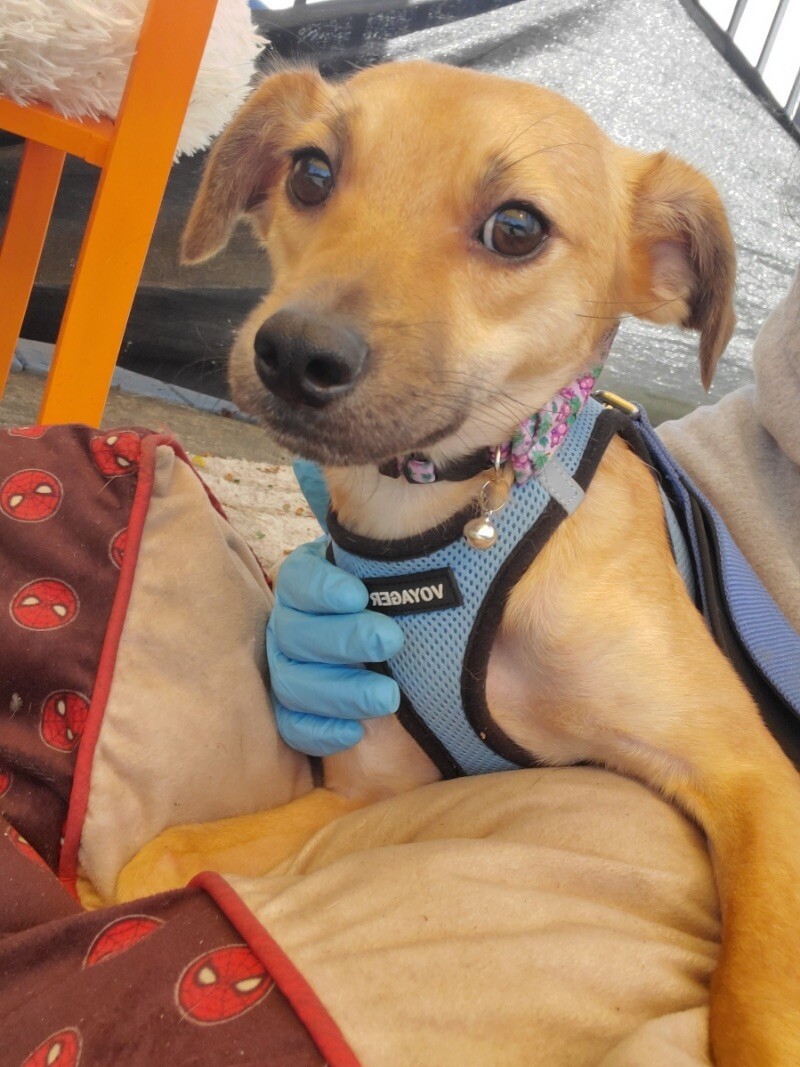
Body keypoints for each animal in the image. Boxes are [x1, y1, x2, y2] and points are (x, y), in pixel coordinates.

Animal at [117, 62, 800, 1062]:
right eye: (311, 174)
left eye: (516, 228)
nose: (294, 354)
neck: (444, 525)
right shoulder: (369, 793)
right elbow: (161, 855)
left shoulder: (750, 776)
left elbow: (756, 995)